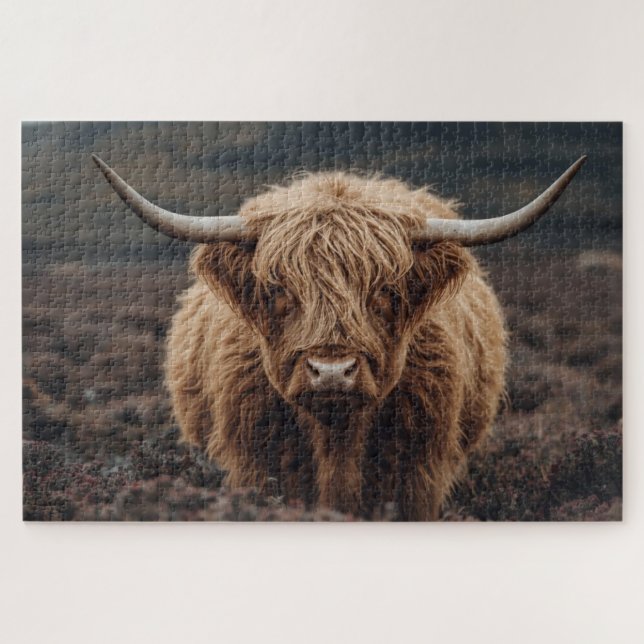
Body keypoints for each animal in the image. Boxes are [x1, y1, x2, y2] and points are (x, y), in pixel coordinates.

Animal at [93, 153, 586, 520]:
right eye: (279, 290)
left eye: (385, 290)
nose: (331, 371)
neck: (337, 441)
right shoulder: (254, 466)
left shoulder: (419, 475)